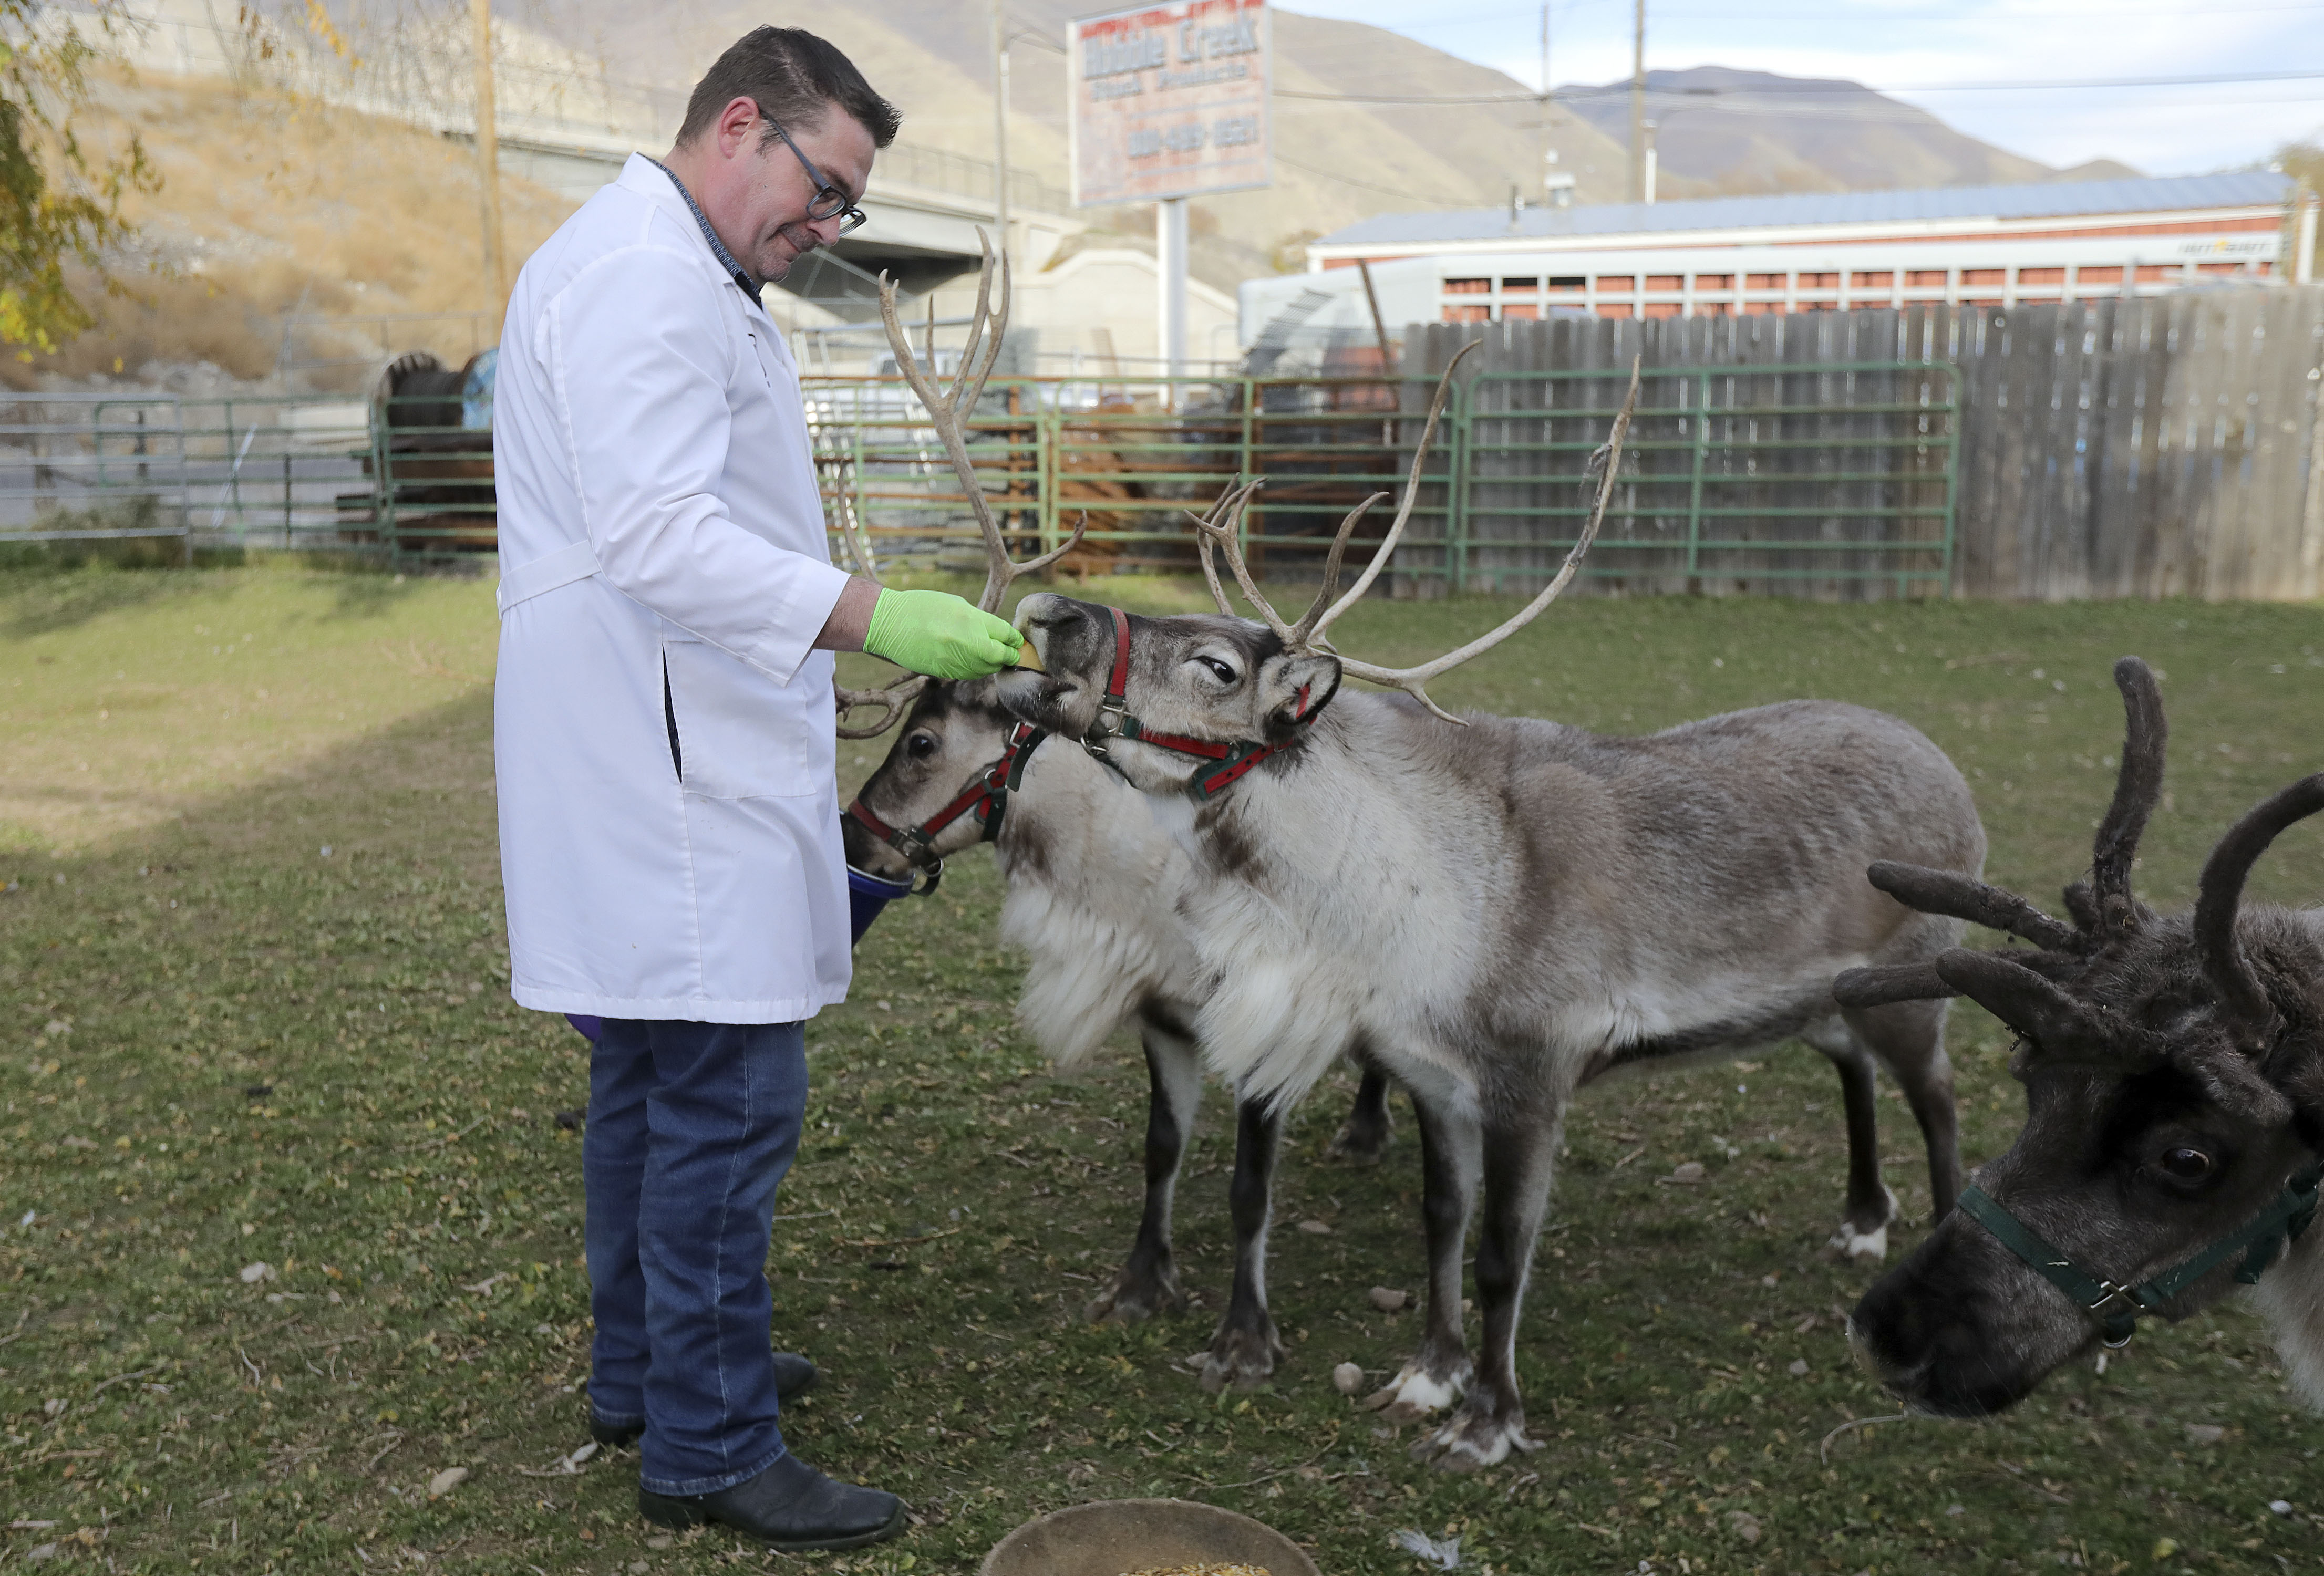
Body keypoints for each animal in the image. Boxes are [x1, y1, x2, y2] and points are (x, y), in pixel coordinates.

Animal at [989, 362, 1987, 1467]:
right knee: (1851, 1064)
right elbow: (1440, 1226)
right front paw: (1428, 1376)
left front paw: (1488, 1420)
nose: (1050, 608)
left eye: (1217, 665)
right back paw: (1859, 1218)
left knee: (1939, 1102)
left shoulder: (1531, 1076)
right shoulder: (1431, 1081)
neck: (1414, 912)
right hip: (1827, 999)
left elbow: (1504, 1254)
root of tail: (1942, 765)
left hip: (1921, 985)